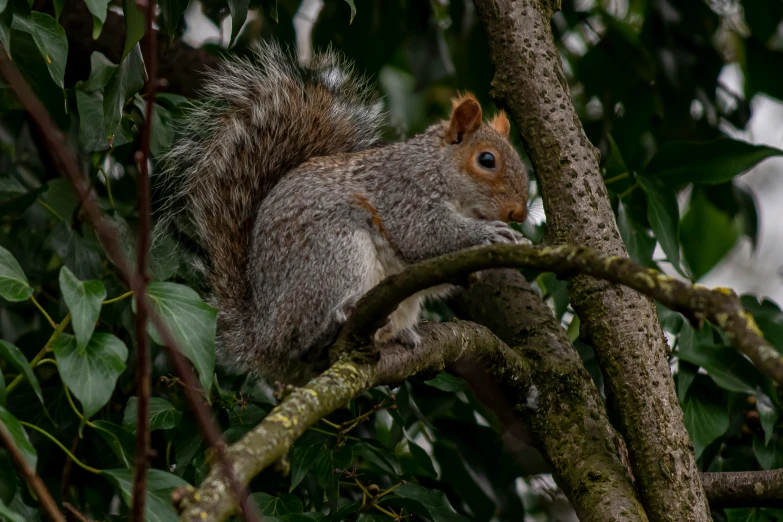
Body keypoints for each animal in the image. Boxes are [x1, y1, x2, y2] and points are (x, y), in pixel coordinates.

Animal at [155, 40, 528, 384]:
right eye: (486, 160)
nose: (519, 214)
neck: (438, 168)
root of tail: (261, 338)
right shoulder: (403, 193)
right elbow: (424, 234)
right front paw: (492, 234)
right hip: (335, 255)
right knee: (305, 338)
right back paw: (334, 323)